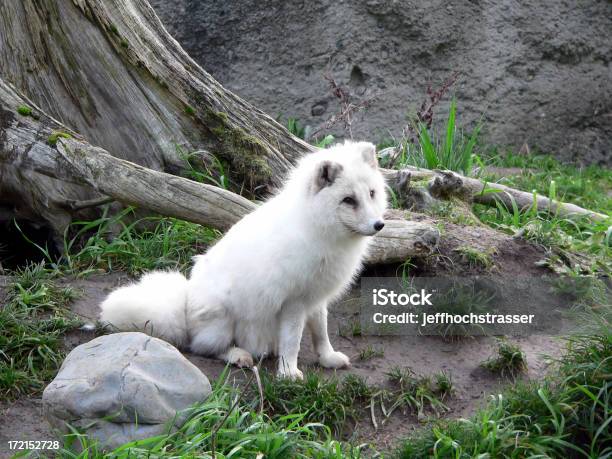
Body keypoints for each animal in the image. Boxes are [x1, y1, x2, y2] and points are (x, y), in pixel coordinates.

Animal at [100, 142, 388, 380]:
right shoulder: (294, 302)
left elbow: (321, 331)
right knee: (201, 347)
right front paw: (289, 373)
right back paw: (238, 355)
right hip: (223, 318)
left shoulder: (316, 297)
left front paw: (327, 358)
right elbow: (293, 340)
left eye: (372, 193)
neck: (317, 228)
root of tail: (184, 306)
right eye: (348, 200)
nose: (379, 225)